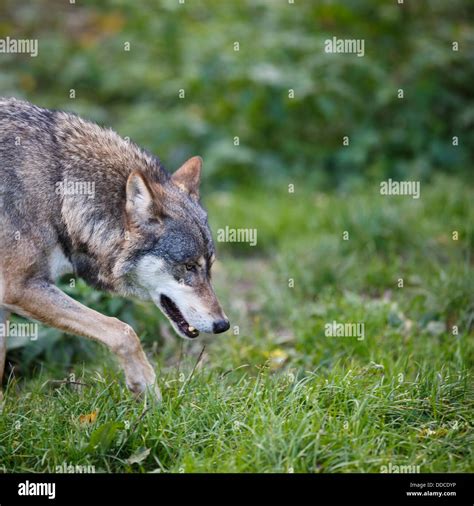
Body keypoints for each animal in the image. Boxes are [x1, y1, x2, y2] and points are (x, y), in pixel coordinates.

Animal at [0, 98, 230, 400]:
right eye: (189, 266)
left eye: (209, 267)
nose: (223, 325)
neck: (58, 193)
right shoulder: (20, 286)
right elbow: (123, 330)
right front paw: (146, 387)